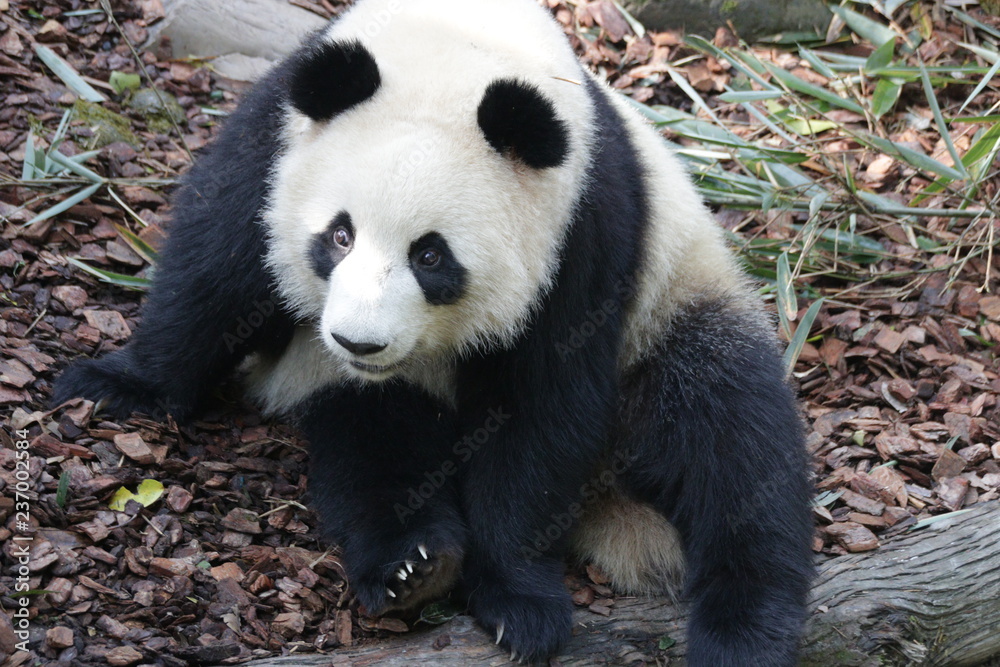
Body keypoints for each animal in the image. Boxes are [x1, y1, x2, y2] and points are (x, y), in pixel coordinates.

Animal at [54, 0, 814, 663]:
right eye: (338, 235)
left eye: (431, 256)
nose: (359, 343)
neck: (459, 45)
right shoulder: (276, 139)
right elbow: (217, 267)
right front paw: (118, 384)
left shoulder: (588, 228)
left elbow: (544, 407)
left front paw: (518, 599)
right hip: (332, 375)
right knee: (376, 439)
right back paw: (413, 564)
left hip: (675, 299)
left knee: (730, 429)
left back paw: (745, 629)